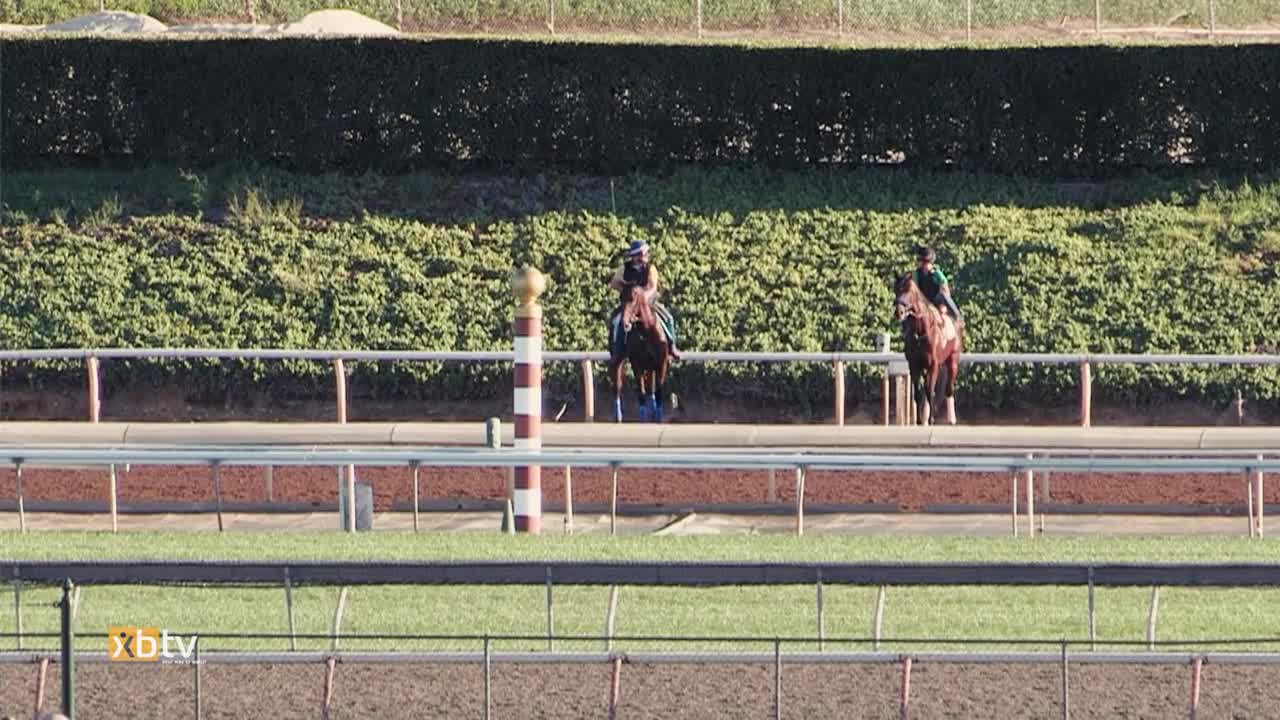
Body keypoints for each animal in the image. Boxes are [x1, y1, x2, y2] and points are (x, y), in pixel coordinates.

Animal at [606, 284, 670, 422]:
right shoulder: (636, 363)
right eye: (621, 298)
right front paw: (643, 417)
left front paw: (658, 416)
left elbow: (658, 389)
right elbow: (641, 391)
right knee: (617, 384)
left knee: (651, 388)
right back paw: (618, 416)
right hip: (618, 359)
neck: (646, 332)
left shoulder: (661, 363)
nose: (624, 323)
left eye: (632, 299)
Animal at [896, 271, 962, 422]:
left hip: (953, 360)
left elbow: (929, 390)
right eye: (896, 290)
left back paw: (951, 419)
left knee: (949, 387)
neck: (921, 332)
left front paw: (931, 419)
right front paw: (920, 421)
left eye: (908, 291)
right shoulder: (914, 365)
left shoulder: (933, 365)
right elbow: (918, 392)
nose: (899, 312)